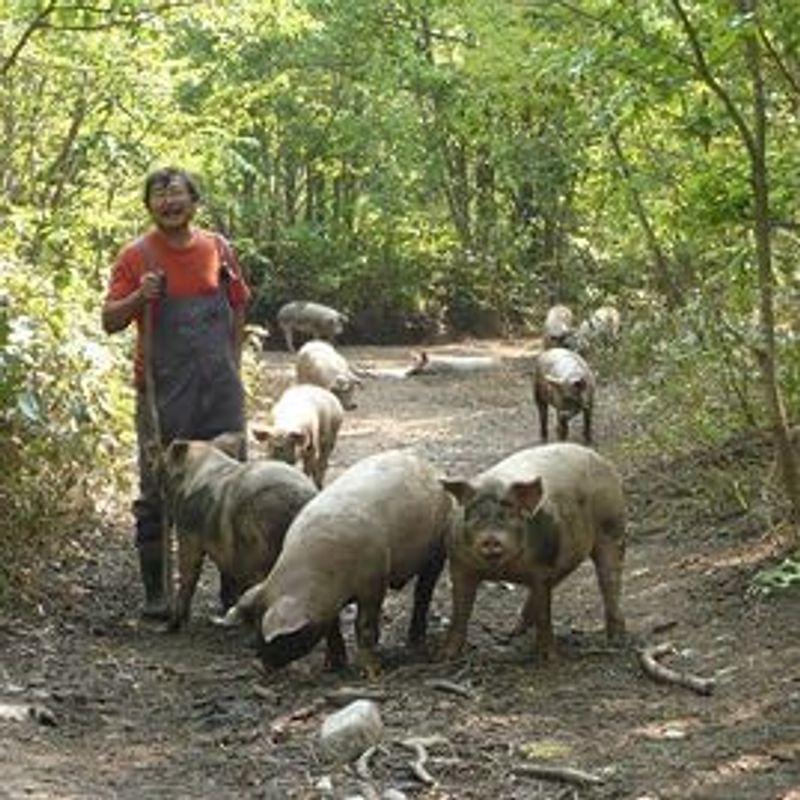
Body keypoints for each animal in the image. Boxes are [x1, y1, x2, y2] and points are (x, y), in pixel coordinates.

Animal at [161, 438, 318, 632]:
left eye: (164, 466)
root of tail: (299, 503)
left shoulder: (189, 533)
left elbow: (189, 574)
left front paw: (172, 626)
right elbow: (227, 573)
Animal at [222, 450, 454, 676]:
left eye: (278, 639)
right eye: (255, 630)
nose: (257, 666)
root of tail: (431, 467)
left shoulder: (374, 581)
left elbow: (363, 625)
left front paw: (372, 672)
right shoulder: (327, 603)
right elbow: (332, 629)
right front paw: (331, 667)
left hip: (438, 549)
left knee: (423, 593)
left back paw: (415, 642)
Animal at [444, 444, 624, 664]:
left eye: (509, 514)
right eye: (474, 514)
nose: (491, 539)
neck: (502, 571)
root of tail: (600, 459)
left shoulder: (542, 567)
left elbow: (544, 612)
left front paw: (548, 659)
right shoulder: (459, 564)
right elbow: (460, 611)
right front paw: (445, 655)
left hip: (613, 526)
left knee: (610, 579)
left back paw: (616, 640)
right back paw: (513, 632)